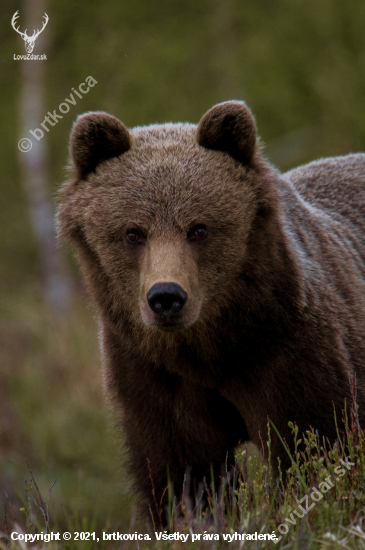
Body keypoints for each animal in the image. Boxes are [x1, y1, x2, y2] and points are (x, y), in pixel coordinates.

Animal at [57, 100, 364, 528]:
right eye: (133, 232)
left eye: (199, 228)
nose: (166, 297)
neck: (213, 349)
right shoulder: (153, 374)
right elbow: (184, 469)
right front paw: (193, 519)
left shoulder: (290, 350)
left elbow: (313, 446)